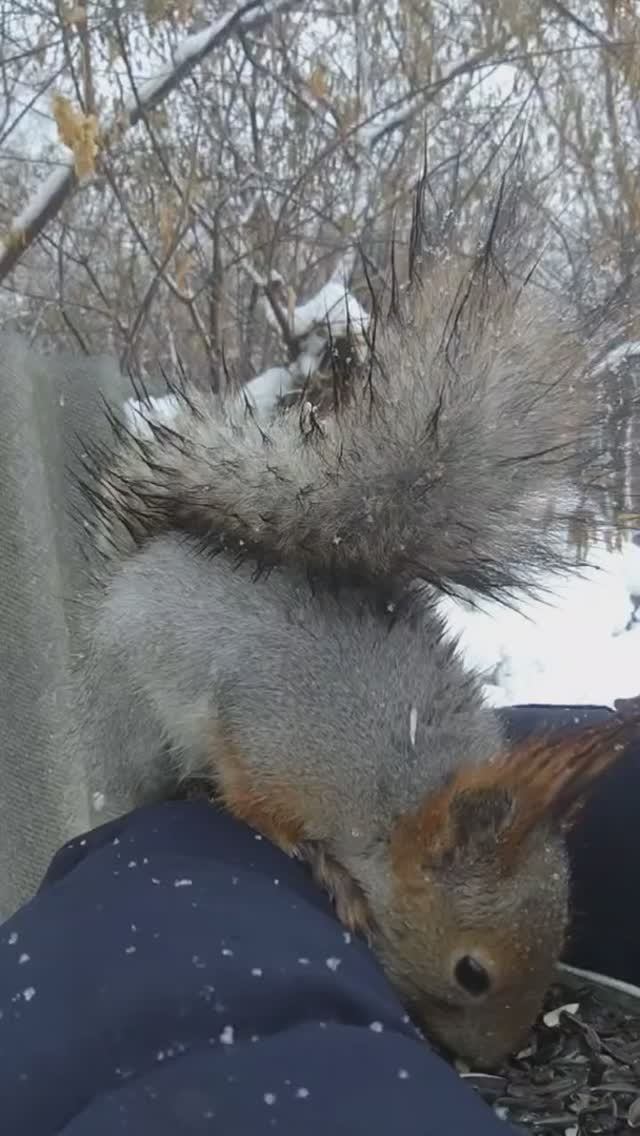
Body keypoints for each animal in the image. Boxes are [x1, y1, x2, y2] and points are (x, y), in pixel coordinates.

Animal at [69, 176, 638, 1068]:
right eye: (472, 972)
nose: (490, 1061)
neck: (395, 789)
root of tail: (130, 569)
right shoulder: (270, 739)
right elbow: (257, 802)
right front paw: (323, 866)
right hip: (130, 712)